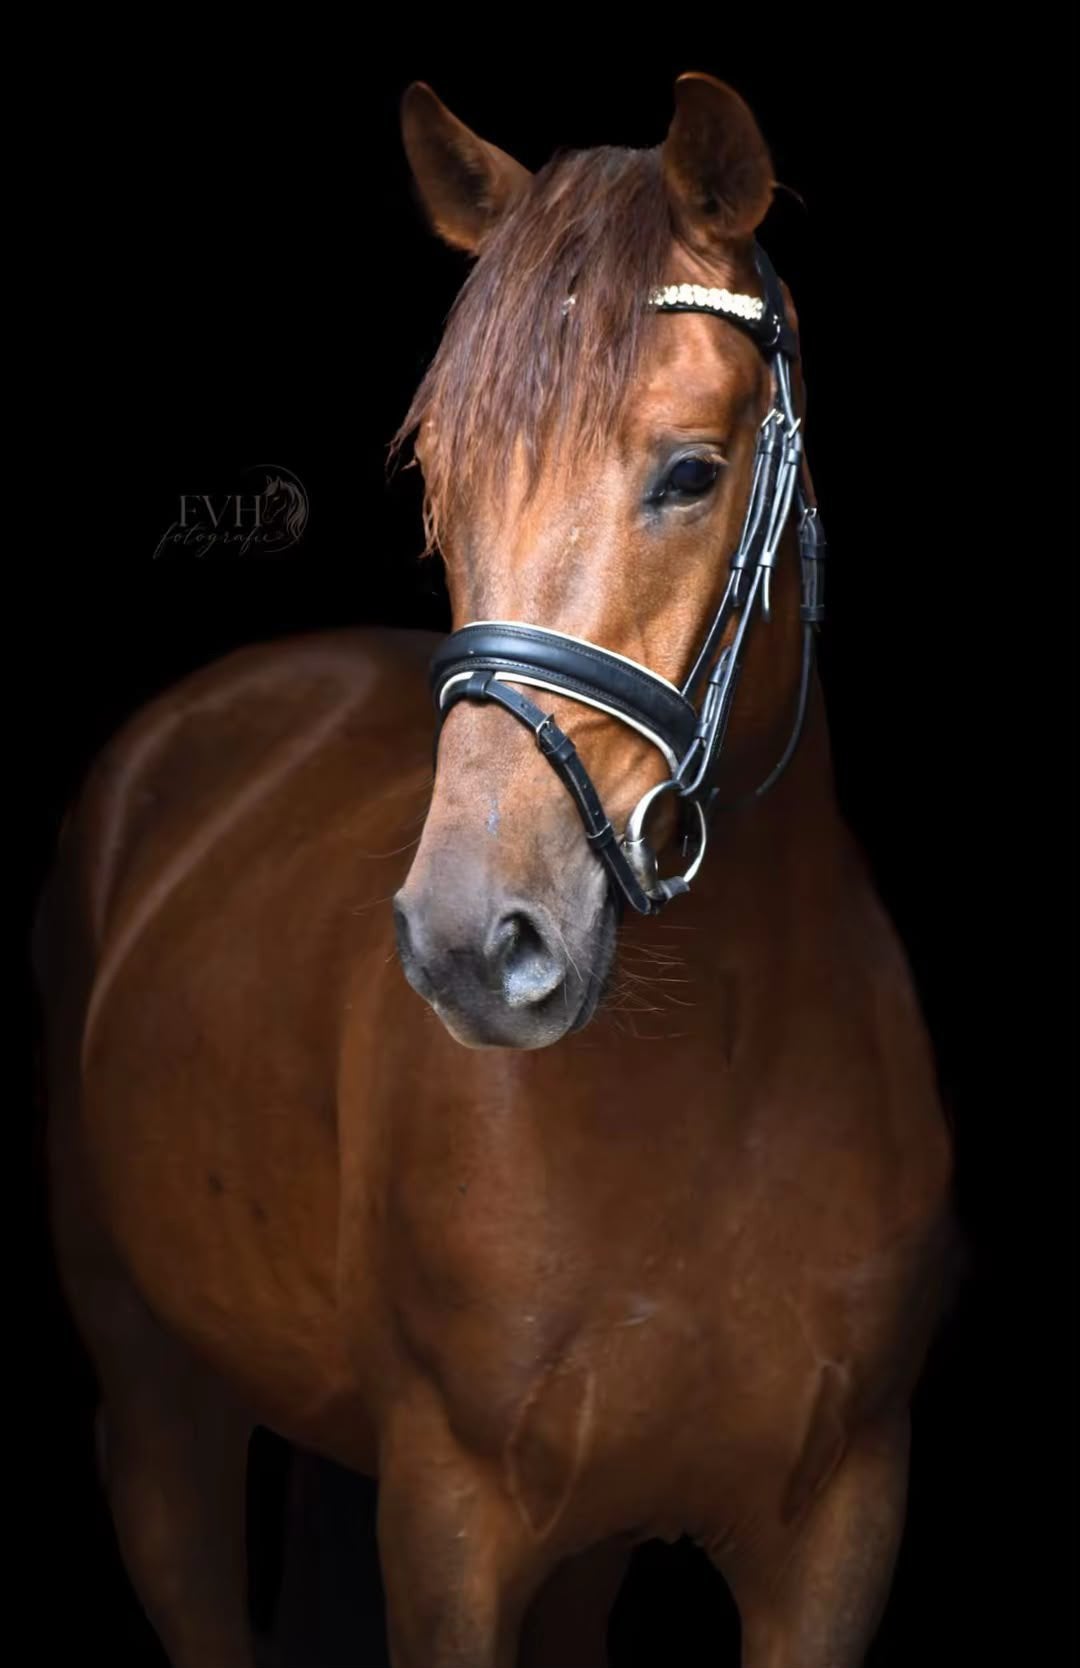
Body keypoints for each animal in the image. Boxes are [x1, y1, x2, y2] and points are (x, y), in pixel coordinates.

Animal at [34, 73, 957, 1667]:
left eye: (691, 472)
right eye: (436, 477)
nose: (474, 942)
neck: (717, 1078)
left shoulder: (839, 1532)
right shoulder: (448, 1527)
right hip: (159, 1411)